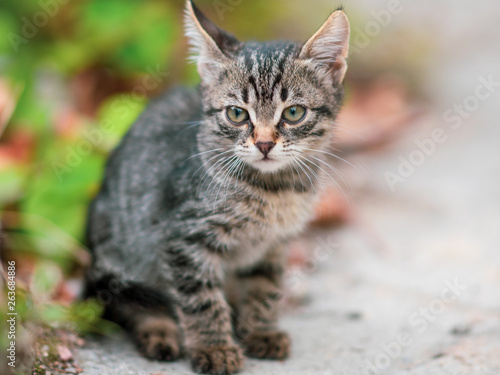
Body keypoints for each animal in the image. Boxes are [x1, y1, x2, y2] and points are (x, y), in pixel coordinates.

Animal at [84, 1, 350, 374]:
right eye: (237, 114)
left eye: (294, 112)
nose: (264, 144)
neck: (273, 190)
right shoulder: (184, 238)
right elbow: (201, 300)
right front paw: (214, 348)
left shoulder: (273, 246)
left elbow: (264, 287)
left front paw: (261, 330)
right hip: (118, 257)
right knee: (125, 303)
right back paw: (161, 332)